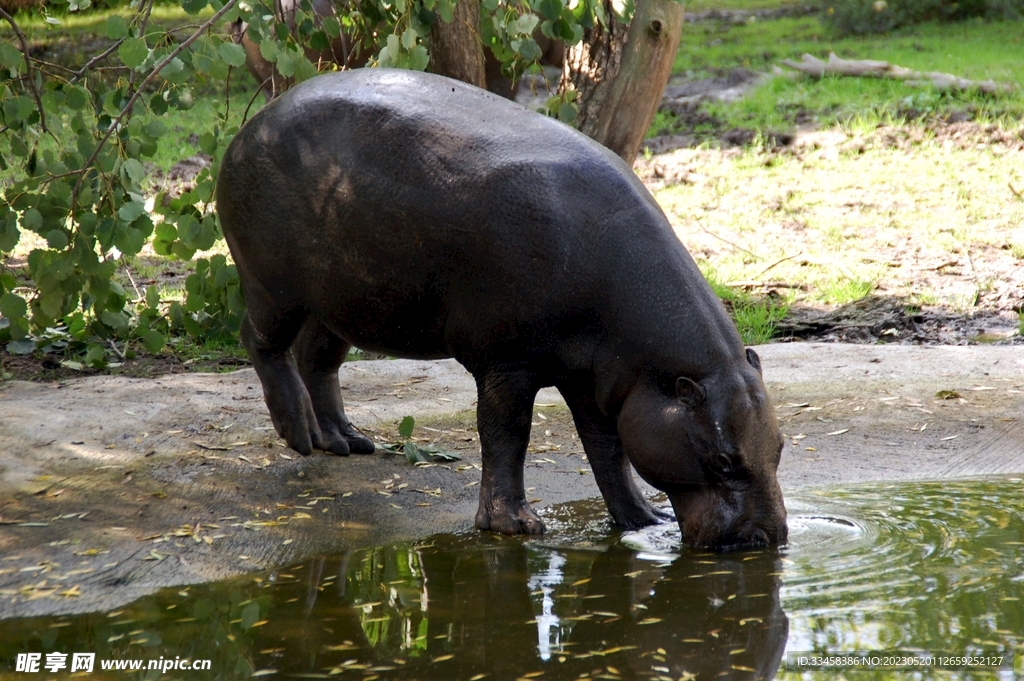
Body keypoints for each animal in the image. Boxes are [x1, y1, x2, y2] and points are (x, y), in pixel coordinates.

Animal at [216, 67, 786, 548]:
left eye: (779, 447)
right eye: (723, 460)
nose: (768, 538)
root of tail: (252, 126)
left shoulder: (594, 378)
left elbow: (608, 449)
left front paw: (644, 520)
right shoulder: (506, 364)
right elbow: (507, 436)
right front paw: (514, 526)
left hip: (341, 300)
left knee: (319, 358)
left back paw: (345, 441)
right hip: (275, 287)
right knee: (262, 342)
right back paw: (299, 435)